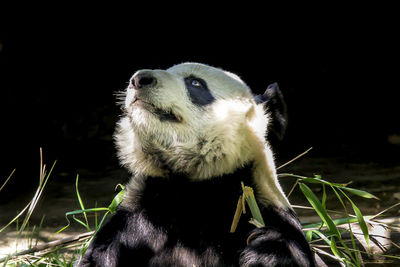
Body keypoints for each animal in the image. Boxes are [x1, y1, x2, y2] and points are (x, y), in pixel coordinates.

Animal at [78, 63, 316, 267]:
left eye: (195, 83)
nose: (139, 79)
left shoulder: (261, 204)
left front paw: (262, 253)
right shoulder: (137, 219)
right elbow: (101, 253)